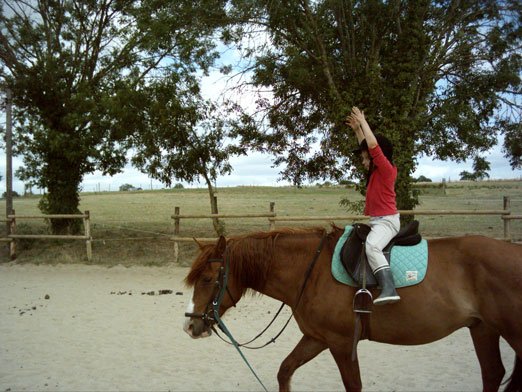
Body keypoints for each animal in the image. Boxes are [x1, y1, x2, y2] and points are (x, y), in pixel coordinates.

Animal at [182, 227, 520, 392]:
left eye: (208, 279)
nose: (190, 326)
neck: (311, 270)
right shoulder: (317, 338)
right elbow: (285, 371)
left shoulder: (342, 343)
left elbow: (353, 385)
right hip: (483, 328)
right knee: (493, 374)